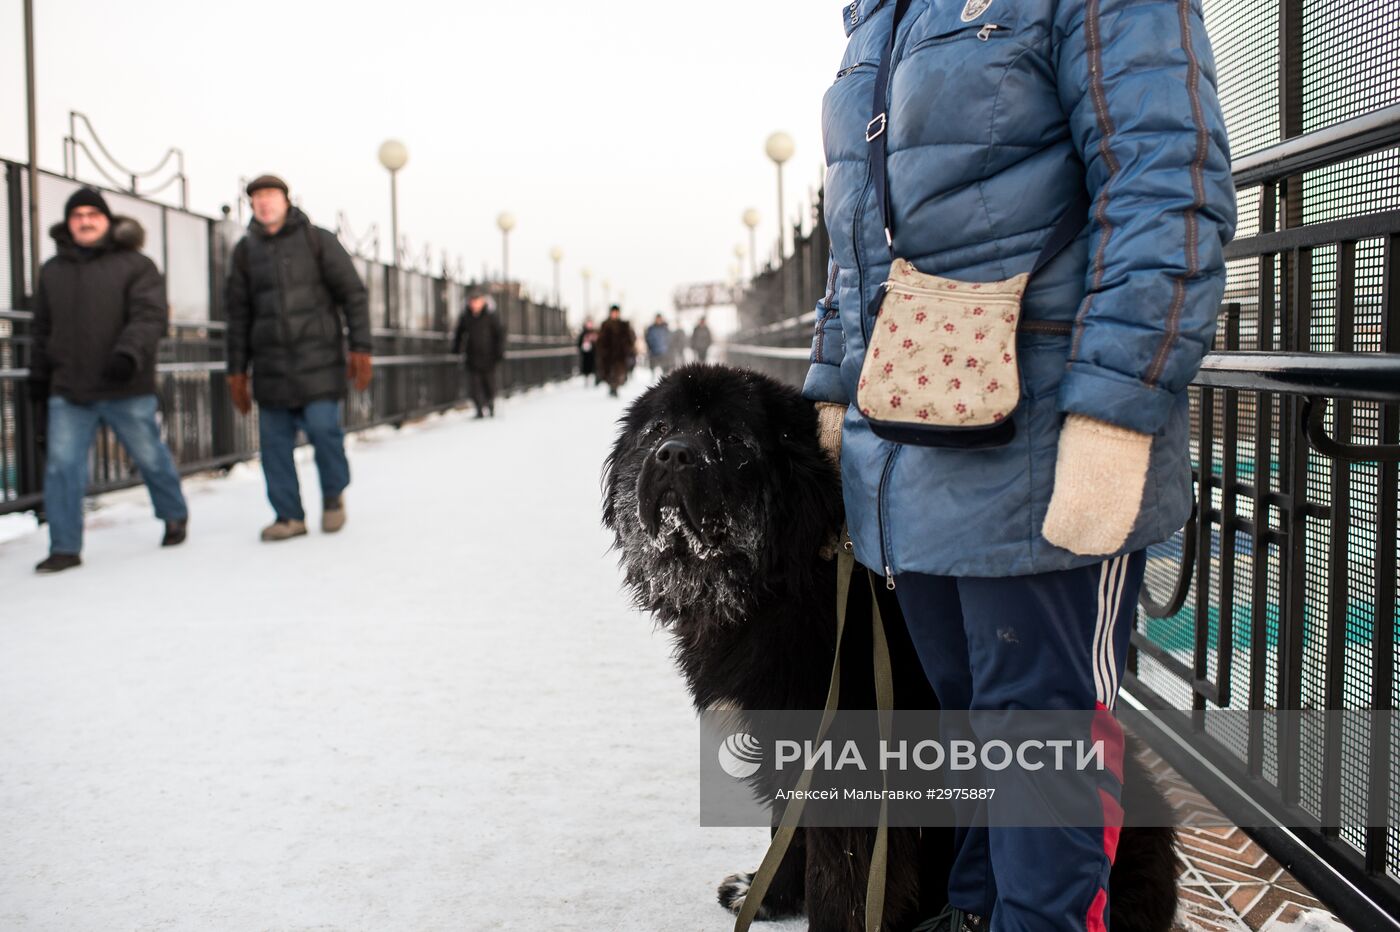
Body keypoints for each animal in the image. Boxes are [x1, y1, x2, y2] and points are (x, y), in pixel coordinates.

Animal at [602, 363, 1181, 929]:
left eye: (732, 438)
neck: (782, 581)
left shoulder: (850, 767)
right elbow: (786, 832)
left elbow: (840, 878)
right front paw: (766, 895)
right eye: (658, 429)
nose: (673, 453)